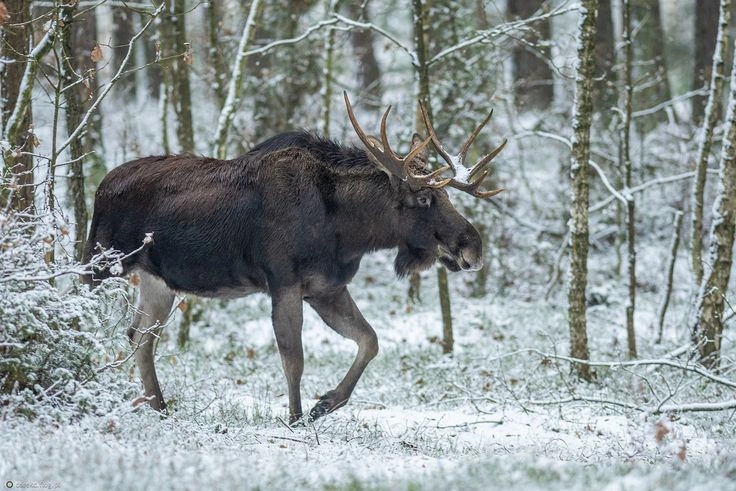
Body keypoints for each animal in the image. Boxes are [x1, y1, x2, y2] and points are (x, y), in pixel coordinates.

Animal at [82, 93, 506, 423]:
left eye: (447, 194)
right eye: (424, 197)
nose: (473, 246)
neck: (347, 231)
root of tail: (99, 188)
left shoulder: (326, 287)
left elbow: (370, 340)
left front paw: (326, 404)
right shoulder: (283, 281)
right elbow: (294, 359)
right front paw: (297, 418)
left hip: (158, 281)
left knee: (140, 337)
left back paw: (159, 406)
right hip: (99, 263)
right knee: (86, 317)